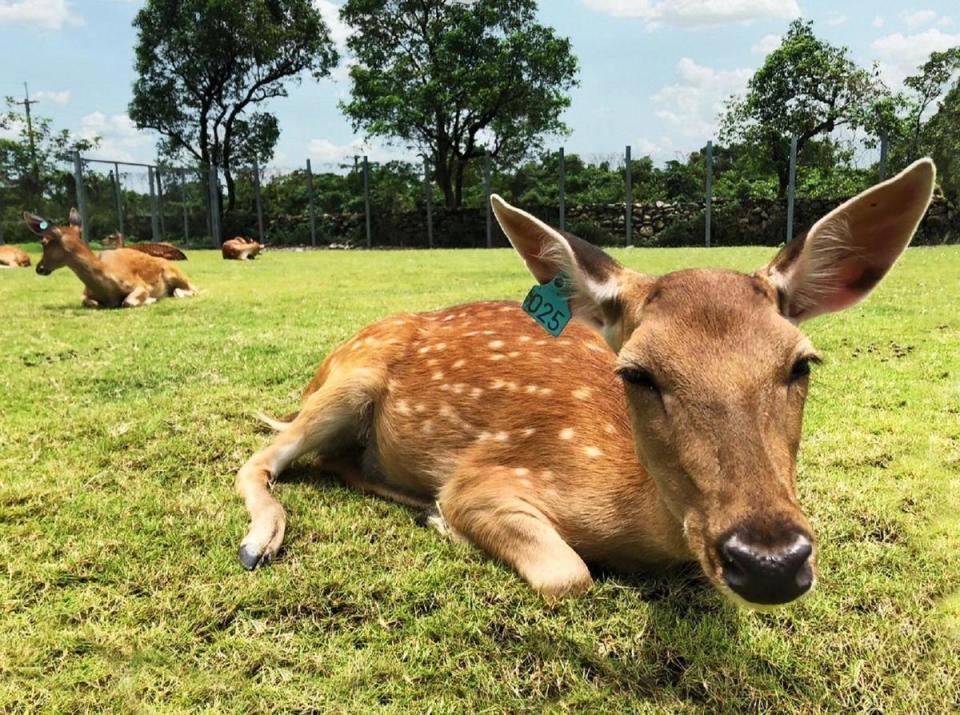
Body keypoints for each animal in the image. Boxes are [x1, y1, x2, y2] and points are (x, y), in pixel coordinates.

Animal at [25, 207, 197, 308]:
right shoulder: (86, 292)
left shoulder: (140, 285)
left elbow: (128, 301)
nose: (39, 267)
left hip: (175, 273)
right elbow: (88, 302)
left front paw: (150, 299)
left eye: (43, 242)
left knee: (192, 289)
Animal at [234, 159, 936, 608]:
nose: (771, 561)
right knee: (262, 457)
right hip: (349, 380)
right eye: (637, 372)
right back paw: (262, 541)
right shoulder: (490, 476)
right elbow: (568, 575)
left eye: (801, 364)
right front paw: (447, 520)